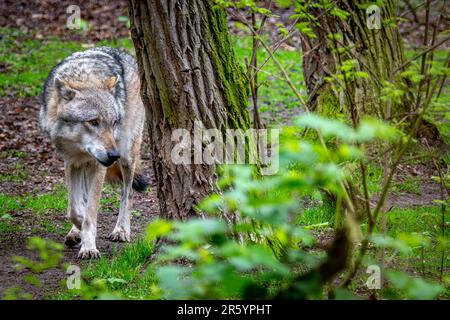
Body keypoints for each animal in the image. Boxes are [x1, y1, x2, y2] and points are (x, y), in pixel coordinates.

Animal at [39, 46, 149, 258]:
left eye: (113, 122)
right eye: (93, 122)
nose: (113, 155)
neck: (85, 78)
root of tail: (126, 54)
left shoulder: (98, 166)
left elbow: (90, 211)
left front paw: (89, 246)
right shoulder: (72, 162)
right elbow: (74, 208)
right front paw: (79, 229)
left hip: (127, 155)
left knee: (128, 192)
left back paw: (121, 230)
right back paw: (75, 232)